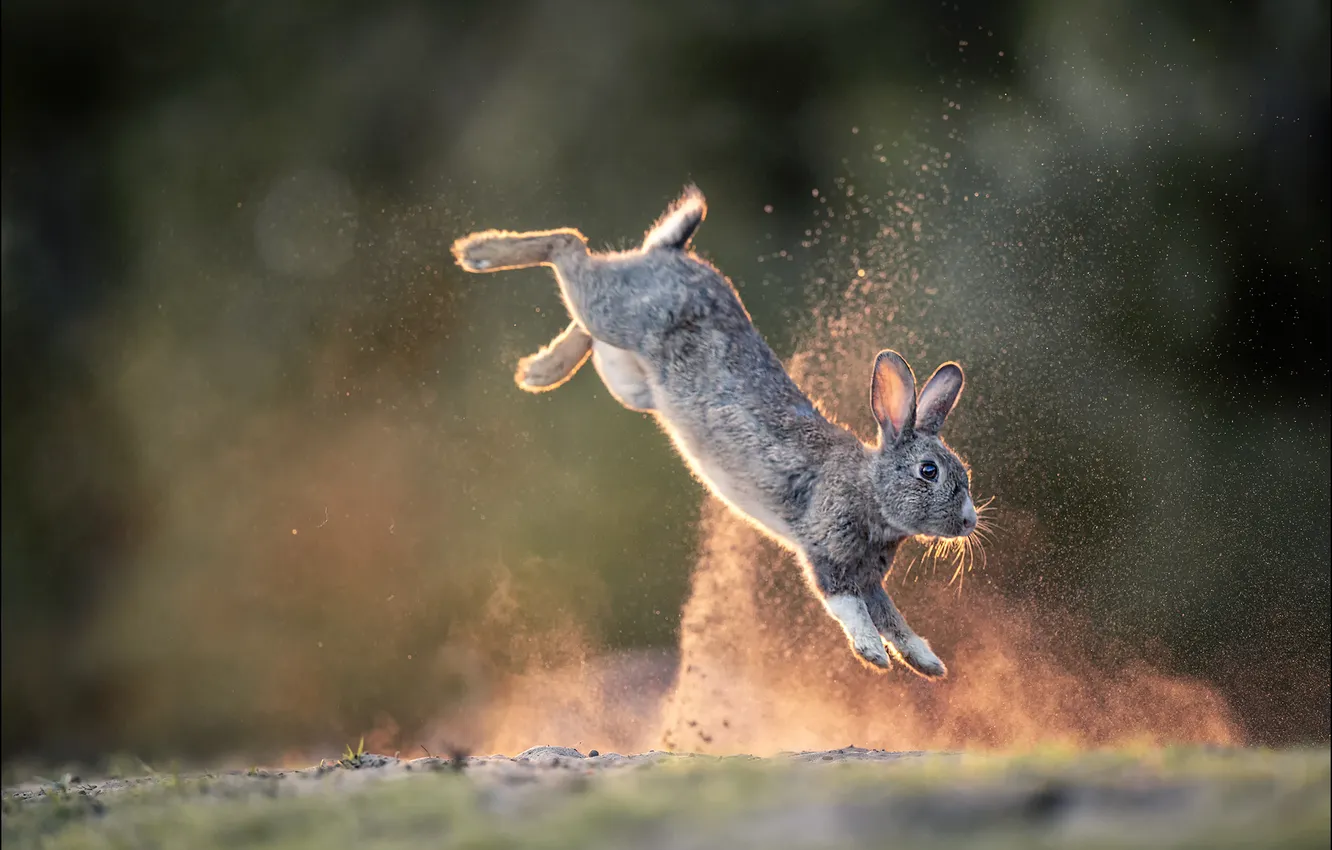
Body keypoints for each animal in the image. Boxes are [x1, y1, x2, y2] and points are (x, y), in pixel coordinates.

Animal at [452, 186, 977, 678]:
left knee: (586, 322)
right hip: (615, 313)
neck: (870, 487)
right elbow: (852, 609)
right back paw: (477, 254)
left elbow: (894, 620)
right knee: (569, 247)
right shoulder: (828, 553)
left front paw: (928, 665)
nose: (971, 521)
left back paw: (538, 371)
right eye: (929, 471)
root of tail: (672, 253)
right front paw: (873, 655)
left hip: (631, 379)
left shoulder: (869, 578)